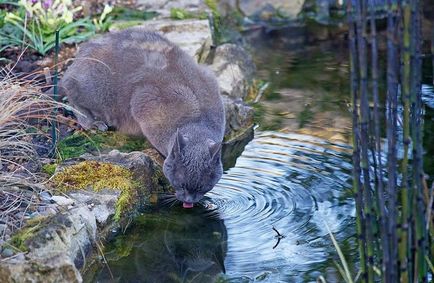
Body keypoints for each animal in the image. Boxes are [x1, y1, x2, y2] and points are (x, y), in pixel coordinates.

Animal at [59, 28, 225, 209]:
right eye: (180, 184)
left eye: (203, 187)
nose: (189, 201)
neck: (197, 120)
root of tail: (81, 52)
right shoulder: (145, 99)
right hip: (93, 87)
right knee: (70, 92)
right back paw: (93, 122)